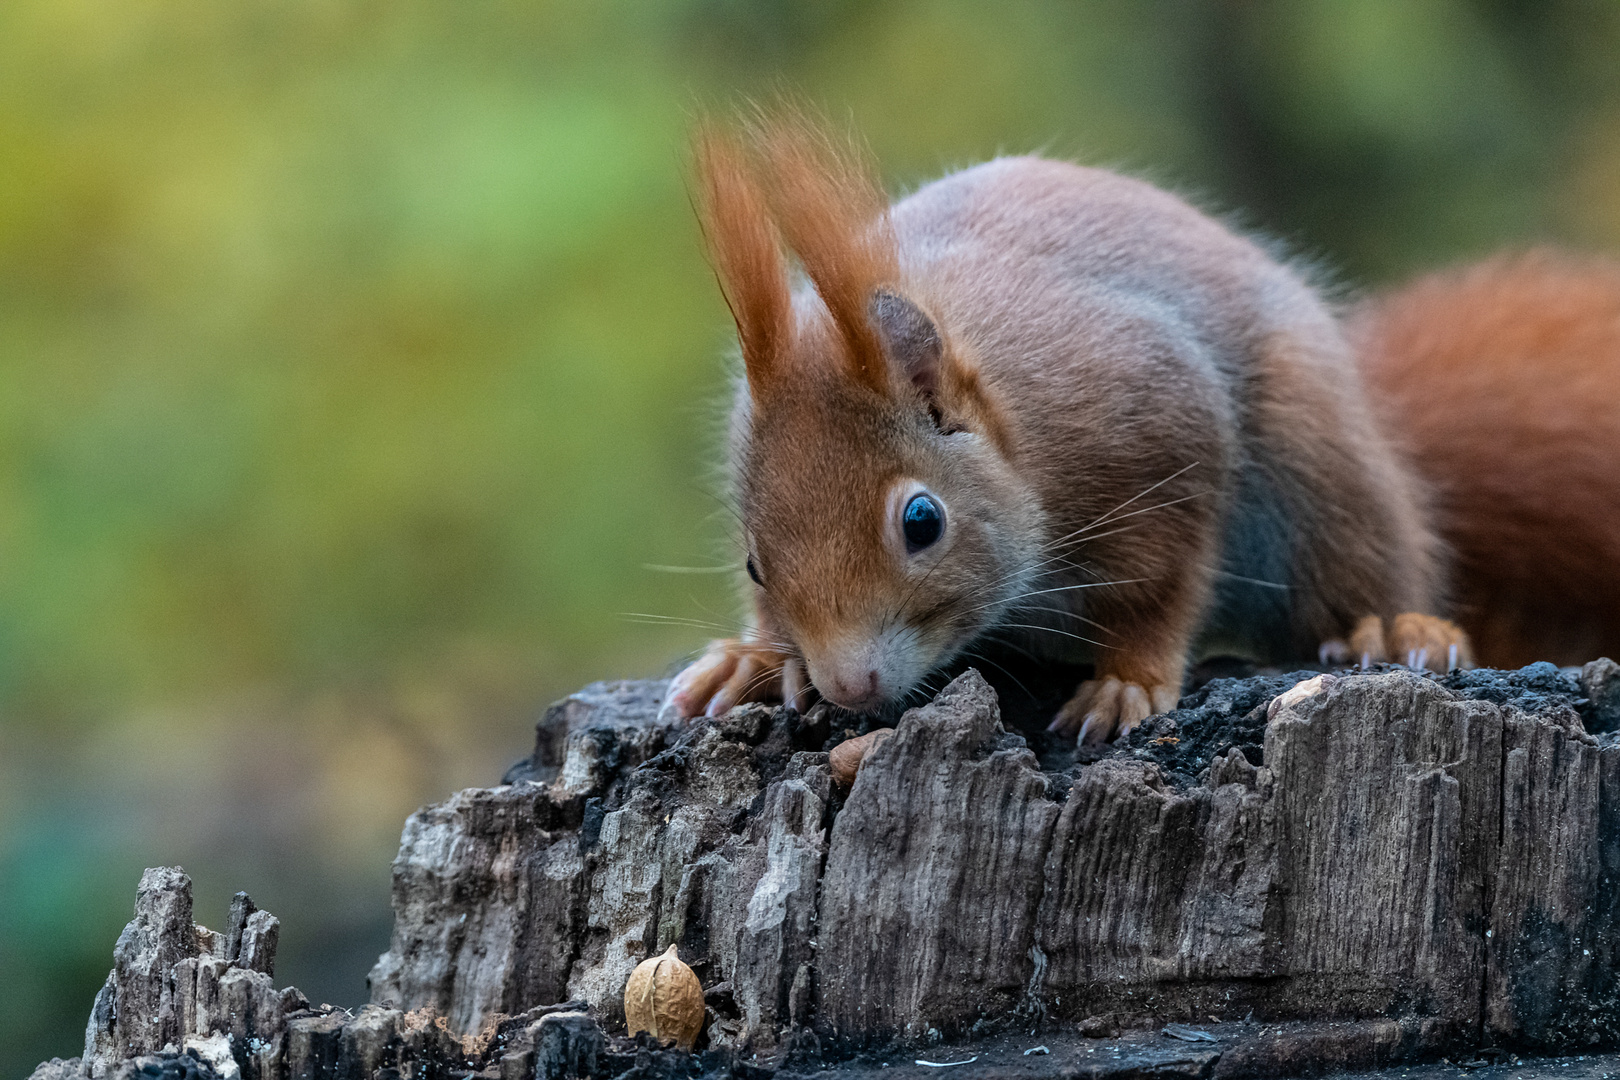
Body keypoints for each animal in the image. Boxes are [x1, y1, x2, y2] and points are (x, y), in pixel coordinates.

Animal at [660, 116, 1483, 744]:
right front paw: (756, 659)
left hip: (1321, 464)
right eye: (753, 565)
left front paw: (1126, 683)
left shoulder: (1160, 432)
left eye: (923, 522)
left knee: (1362, 558)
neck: (1020, 430)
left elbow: (1157, 593)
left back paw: (1392, 630)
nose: (850, 686)